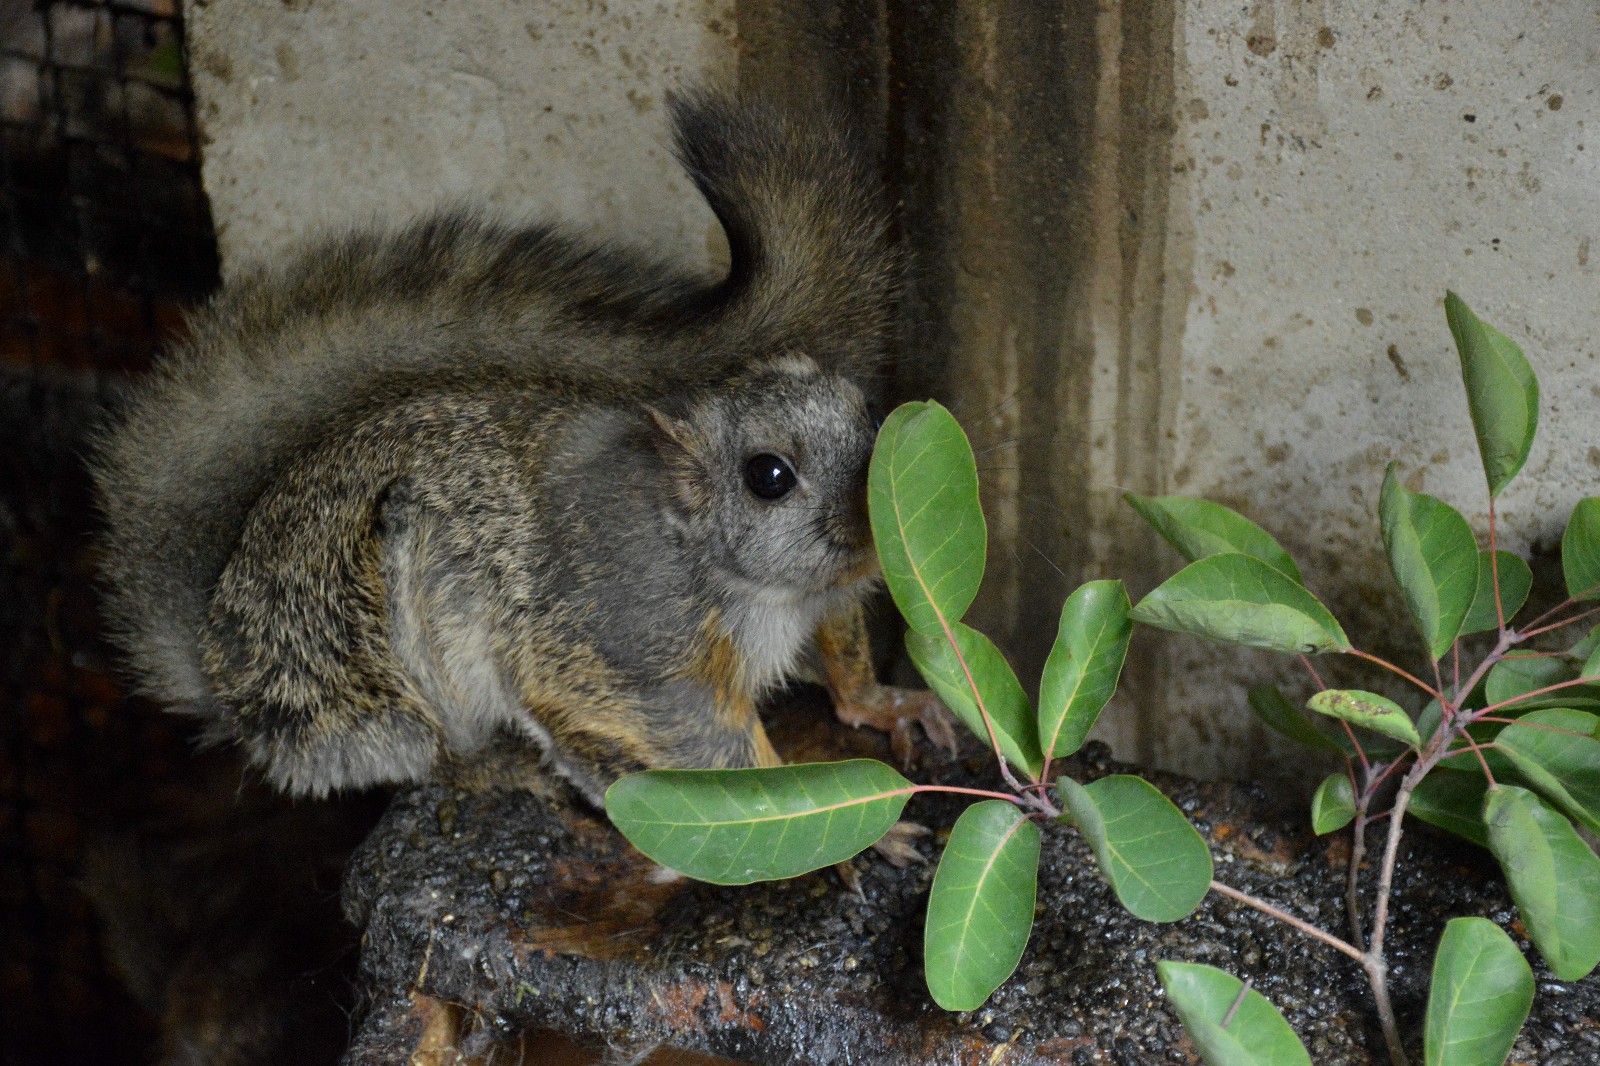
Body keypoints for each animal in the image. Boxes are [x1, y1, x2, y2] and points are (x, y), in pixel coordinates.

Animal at [90, 91, 947, 819]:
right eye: (768, 477)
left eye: (870, 416)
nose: (886, 519)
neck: (759, 586)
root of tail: (224, 663)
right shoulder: (621, 641)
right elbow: (678, 743)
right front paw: (851, 841)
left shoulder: (828, 601)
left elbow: (844, 654)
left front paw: (882, 702)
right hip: (376, 656)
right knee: (426, 752)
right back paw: (492, 767)